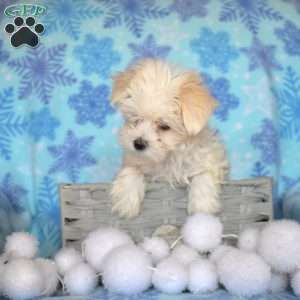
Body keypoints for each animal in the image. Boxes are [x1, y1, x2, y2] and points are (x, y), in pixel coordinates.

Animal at [109, 58, 229, 218]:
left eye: (164, 126)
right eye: (136, 119)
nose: (138, 144)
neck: (168, 157)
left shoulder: (209, 159)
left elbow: (203, 174)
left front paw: (202, 207)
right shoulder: (133, 160)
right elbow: (131, 170)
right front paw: (126, 201)